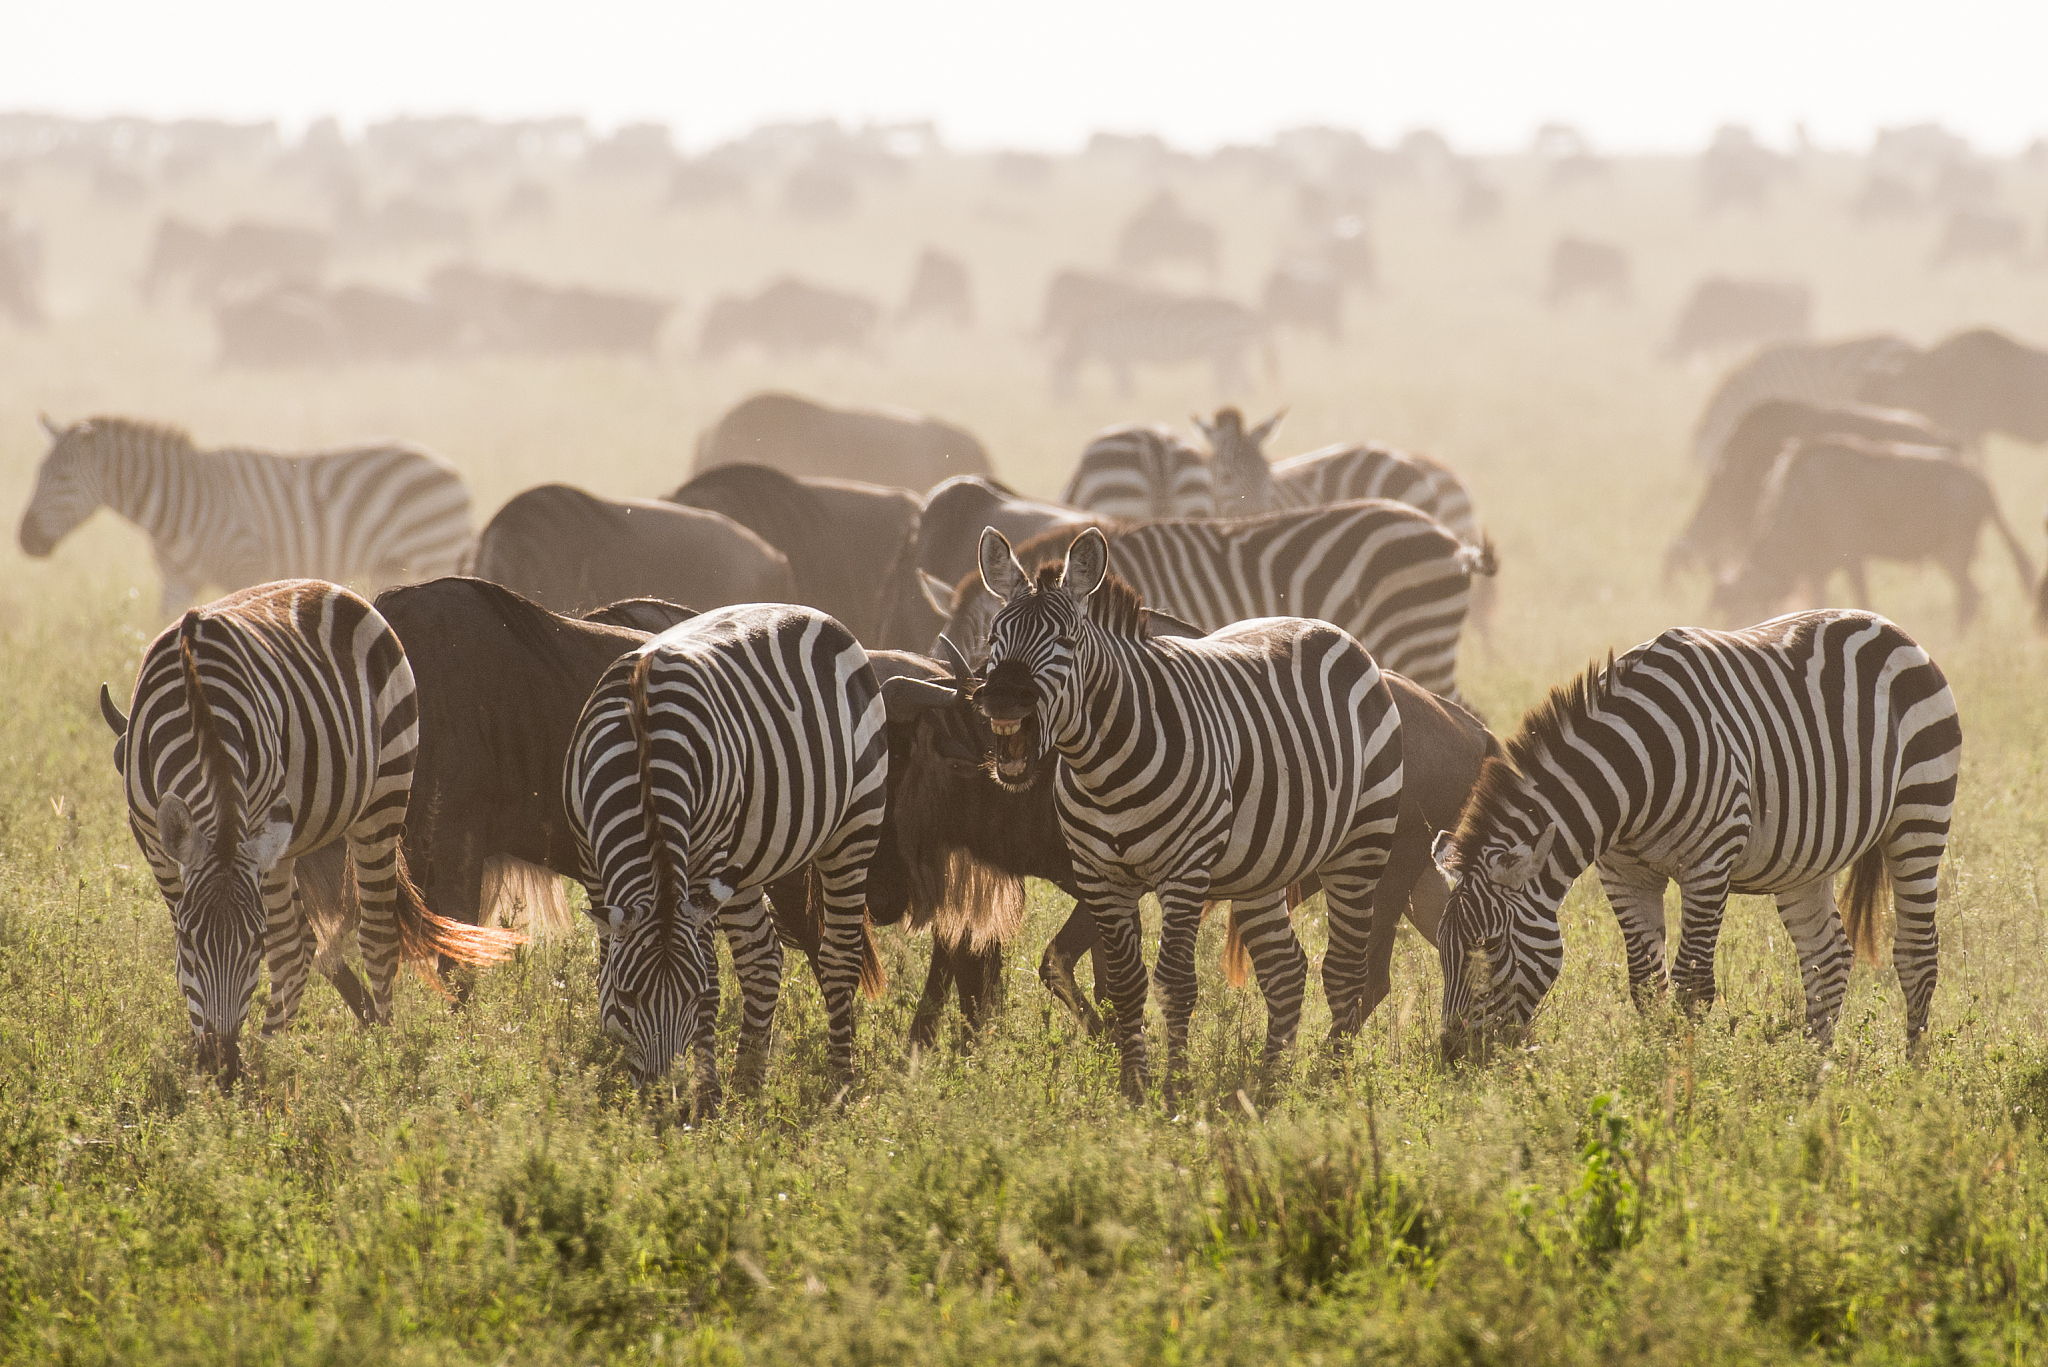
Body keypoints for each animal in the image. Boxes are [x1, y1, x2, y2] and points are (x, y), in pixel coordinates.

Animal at [19, 415, 473, 620]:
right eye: (37, 473)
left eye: (62, 479)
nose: (24, 540)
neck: (179, 503)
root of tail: (450, 469)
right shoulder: (175, 582)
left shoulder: (246, 566)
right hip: (389, 566)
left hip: (432, 551)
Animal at [103, 579, 523, 1082]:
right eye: (187, 939)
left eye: (254, 944)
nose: (225, 1068)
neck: (198, 710)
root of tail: (334, 588)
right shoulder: (156, 845)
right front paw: (197, 1048)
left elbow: (283, 947)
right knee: (304, 942)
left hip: (382, 796)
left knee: (365, 939)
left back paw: (367, 1052)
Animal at [563, 605, 889, 1109]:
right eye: (627, 997)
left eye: (695, 1000)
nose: (663, 1107)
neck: (643, 747)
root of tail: (817, 614)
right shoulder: (592, 864)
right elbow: (603, 963)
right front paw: (612, 1077)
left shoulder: (701, 861)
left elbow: (713, 974)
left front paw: (706, 1094)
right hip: (746, 860)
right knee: (762, 959)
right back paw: (749, 1083)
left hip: (856, 823)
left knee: (839, 956)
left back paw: (838, 1087)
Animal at [974, 527, 1405, 1102]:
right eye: (995, 637)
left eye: (1065, 640)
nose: (1001, 699)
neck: (1102, 766)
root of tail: (1331, 629)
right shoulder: (1100, 877)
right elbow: (1126, 983)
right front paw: (1134, 1086)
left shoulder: (1184, 870)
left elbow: (1176, 983)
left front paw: (1175, 1089)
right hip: (1261, 869)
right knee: (1286, 970)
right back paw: (1270, 1082)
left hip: (1361, 846)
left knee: (1343, 972)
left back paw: (1328, 1080)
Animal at [1430, 609, 1959, 1060]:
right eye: (1442, 948)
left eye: (1490, 945)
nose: (1454, 1055)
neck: (1634, 771)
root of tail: (1885, 624)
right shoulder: (1623, 874)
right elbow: (1645, 984)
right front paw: (1651, 1068)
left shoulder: (1708, 864)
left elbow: (1691, 986)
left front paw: (1681, 1080)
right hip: (1807, 858)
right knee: (1827, 960)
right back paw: (1813, 1076)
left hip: (1919, 816)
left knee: (1917, 954)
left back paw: (1913, 1077)